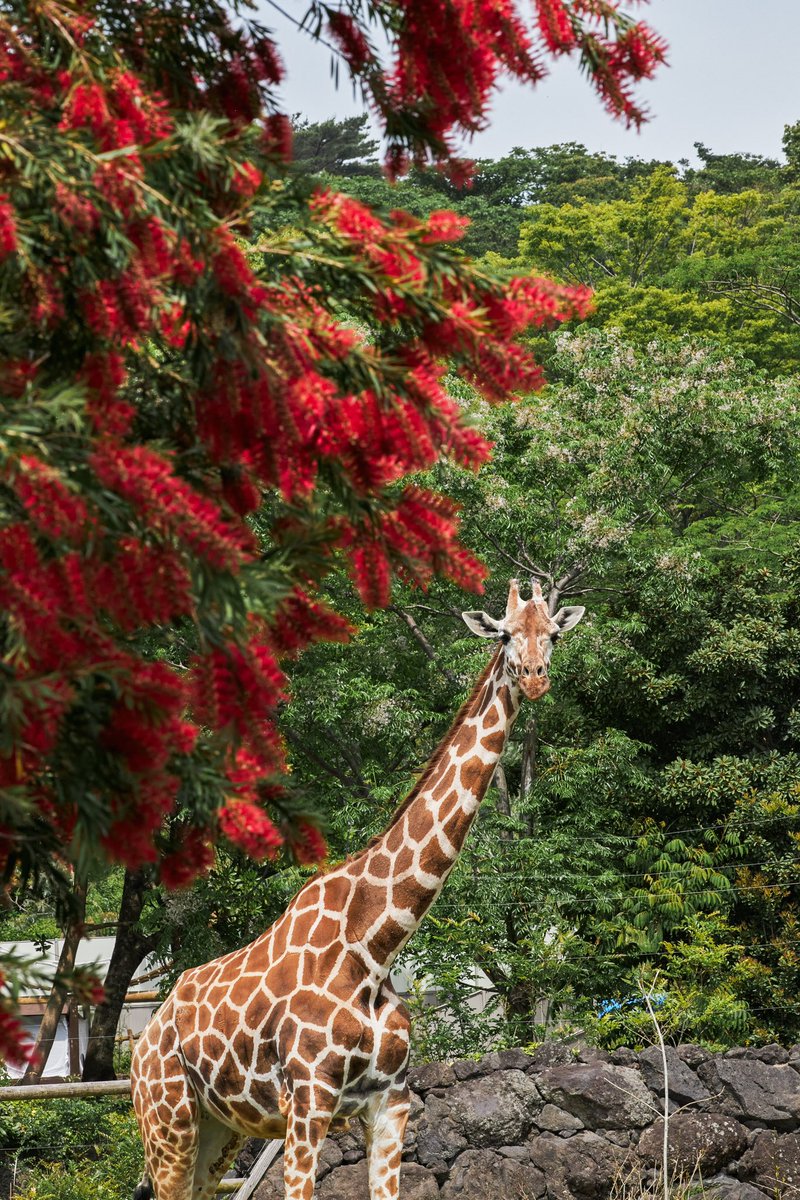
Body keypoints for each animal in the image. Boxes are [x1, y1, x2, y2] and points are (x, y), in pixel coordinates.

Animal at [130, 578, 582, 1200]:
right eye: (505, 633)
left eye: (554, 634)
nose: (536, 677)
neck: (373, 944)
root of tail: (142, 1040)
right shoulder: (307, 1101)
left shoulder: (390, 1102)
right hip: (168, 1120)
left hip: (218, 1132)